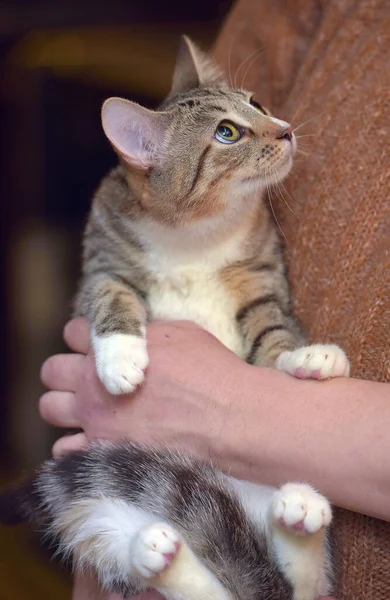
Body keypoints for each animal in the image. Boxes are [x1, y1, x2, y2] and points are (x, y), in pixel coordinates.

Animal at [73, 35, 350, 396]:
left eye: (256, 103)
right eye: (227, 132)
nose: (286, 129)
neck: (195, 230)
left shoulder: (258, 278)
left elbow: (272, 331)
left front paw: (311, 358)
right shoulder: (104, 257)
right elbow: (110, 293)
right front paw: (120, 360)